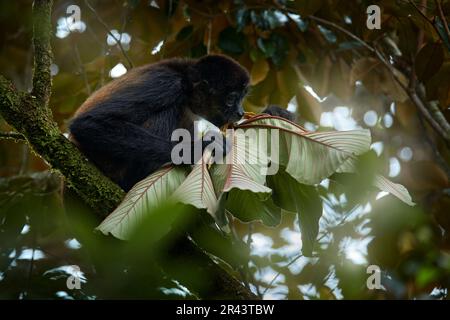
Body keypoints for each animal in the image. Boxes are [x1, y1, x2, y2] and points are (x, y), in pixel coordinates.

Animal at [69, 54, 294, 191]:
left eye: (242, 98)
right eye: (231, 99)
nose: (239, 112)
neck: (186, 83)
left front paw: (274, 112)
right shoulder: (166, 83)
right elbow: (88, 123)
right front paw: (200, 148)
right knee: (168, 111)